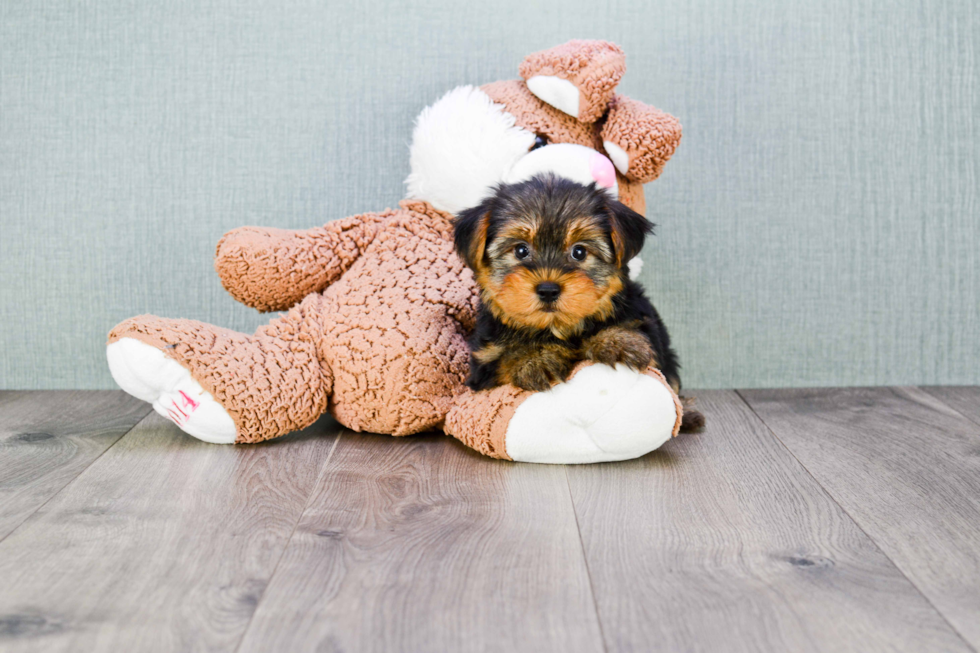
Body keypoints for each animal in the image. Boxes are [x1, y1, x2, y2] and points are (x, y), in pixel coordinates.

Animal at [452, 173, 704, 428]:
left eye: (579, 252)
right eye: (521, 251)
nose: (548, 290)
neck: (556, 328)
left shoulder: (645, 325)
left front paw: (616, 340)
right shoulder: (484, 364)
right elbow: (504, 360)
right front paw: (534, 358)